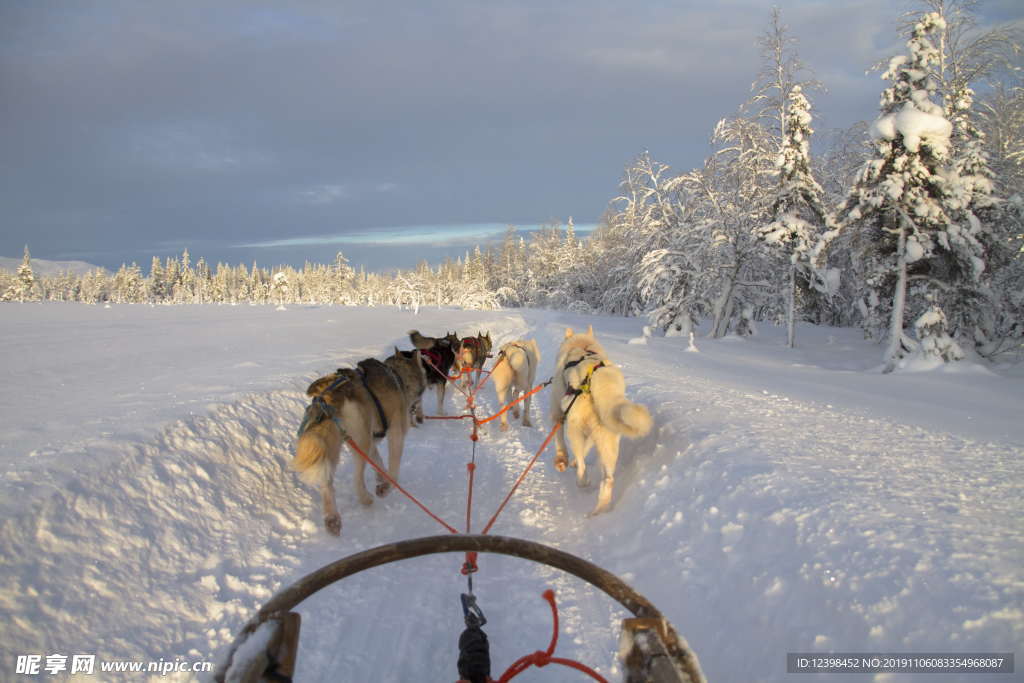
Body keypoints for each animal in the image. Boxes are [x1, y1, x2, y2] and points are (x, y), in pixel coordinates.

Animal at [294, 350, 425, 536]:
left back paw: (332, 518)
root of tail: (329, 396)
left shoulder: (372, 442)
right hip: (360, 440)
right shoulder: (396, 432)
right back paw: (365, 498)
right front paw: (385, 486)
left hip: (333, 444)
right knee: (357, 479)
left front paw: (381, 477)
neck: (398, 375)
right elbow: (393, 470)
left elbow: (378, 462)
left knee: (327, 484)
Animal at [548, 325, 651, 511]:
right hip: (609, 439)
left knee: (582, 464)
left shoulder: (558, 413)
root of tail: (599, 377)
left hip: (574, 429)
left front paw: (562, 461)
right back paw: (599, 510)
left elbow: (560, 442)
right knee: (608, 480)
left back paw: (582, 480)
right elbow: (587, 446)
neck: (582, 345)